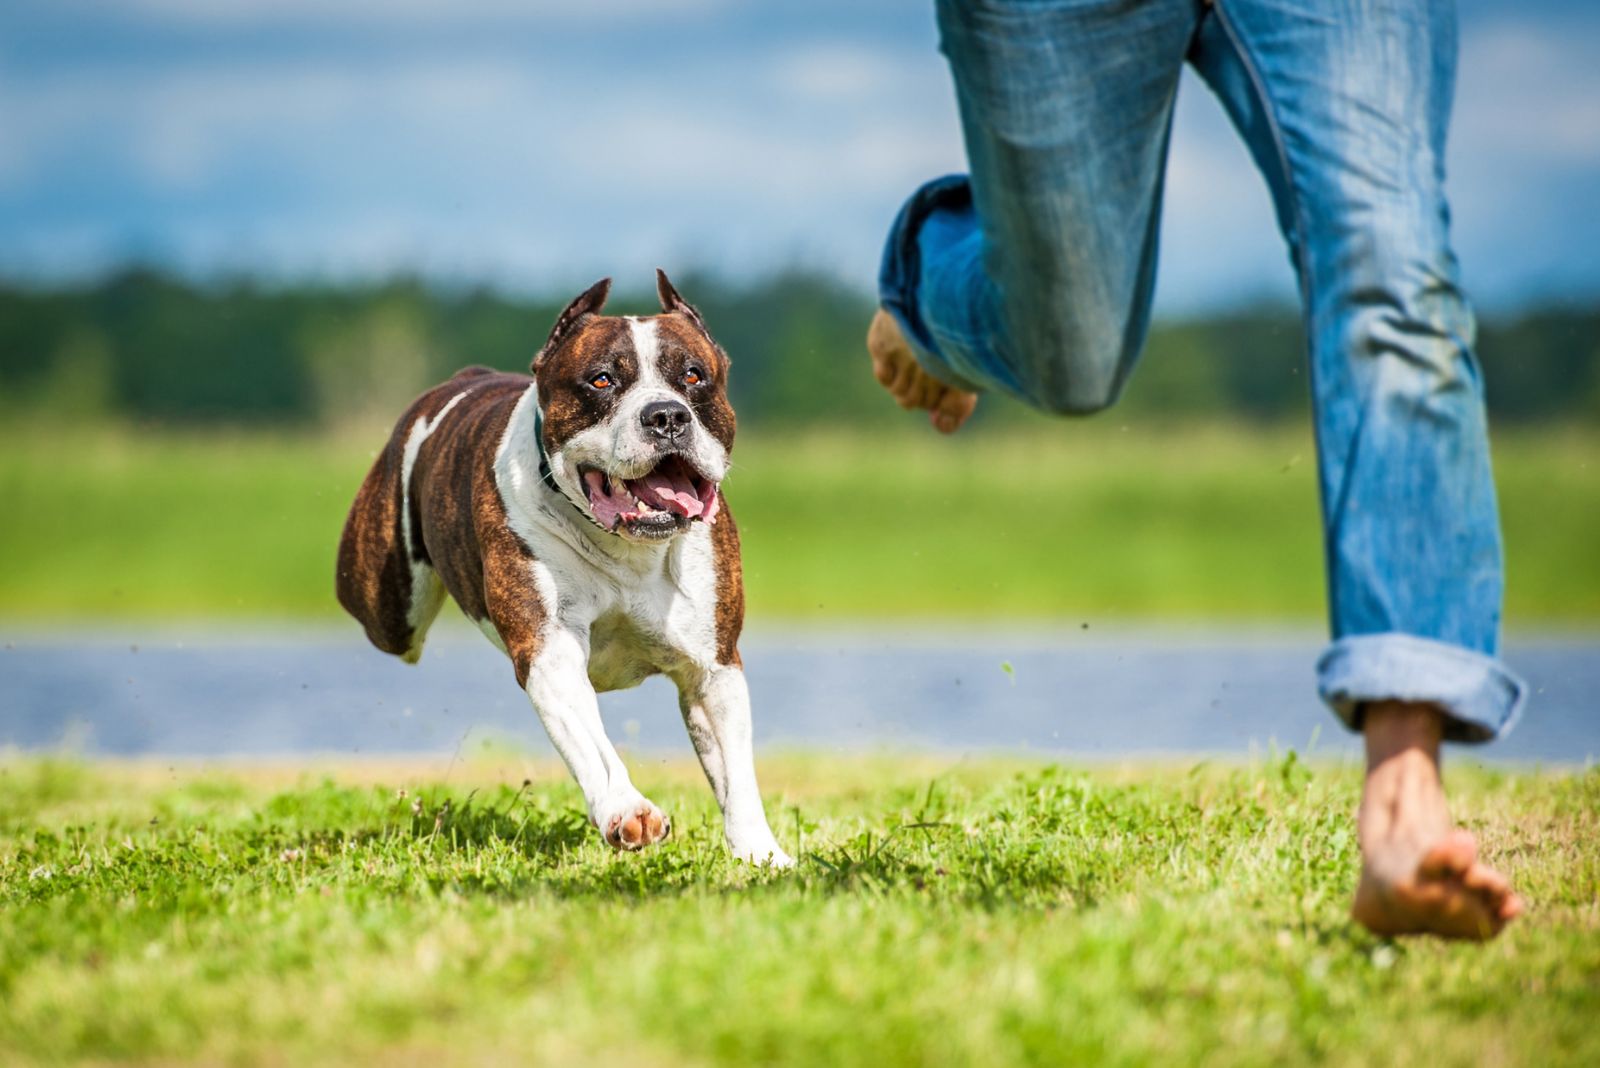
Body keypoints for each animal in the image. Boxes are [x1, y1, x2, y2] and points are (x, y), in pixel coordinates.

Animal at [332, 271, 793, 863]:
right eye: (600, 380)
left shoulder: (713, 668)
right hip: (389, 608)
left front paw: (761, 854)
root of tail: (465, 378)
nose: (666, 415)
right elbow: (594, 747)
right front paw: (628, 811)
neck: (628, 550)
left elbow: (737, 775)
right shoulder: (550, 651)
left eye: (694, 375)